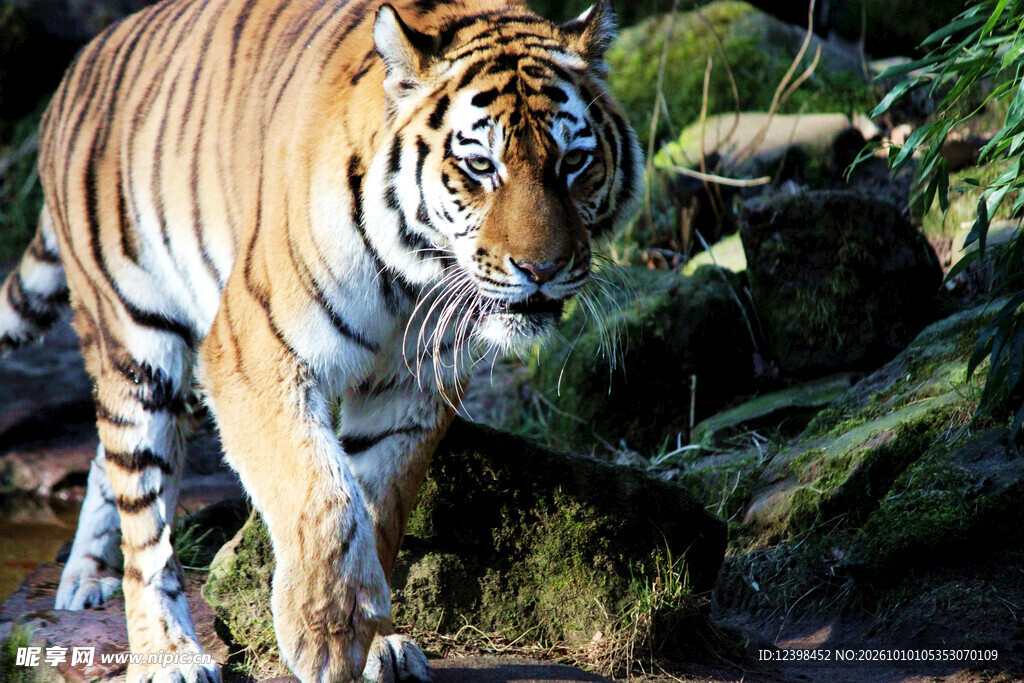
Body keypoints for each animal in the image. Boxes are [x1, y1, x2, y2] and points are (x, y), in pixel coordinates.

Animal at [0, 0, 642, 679]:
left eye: (573, 163)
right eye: (479, 166)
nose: (541, 269)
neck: (413, 276)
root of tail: (80, 64)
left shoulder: (410, 387)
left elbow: (377, 505)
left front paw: (376, 640)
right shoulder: (252, 355)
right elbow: (318, 491)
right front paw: (328, 633)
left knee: (108, 462)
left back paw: (86, 578)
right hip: (139, 338)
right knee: (142, 506)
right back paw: (165, 652)